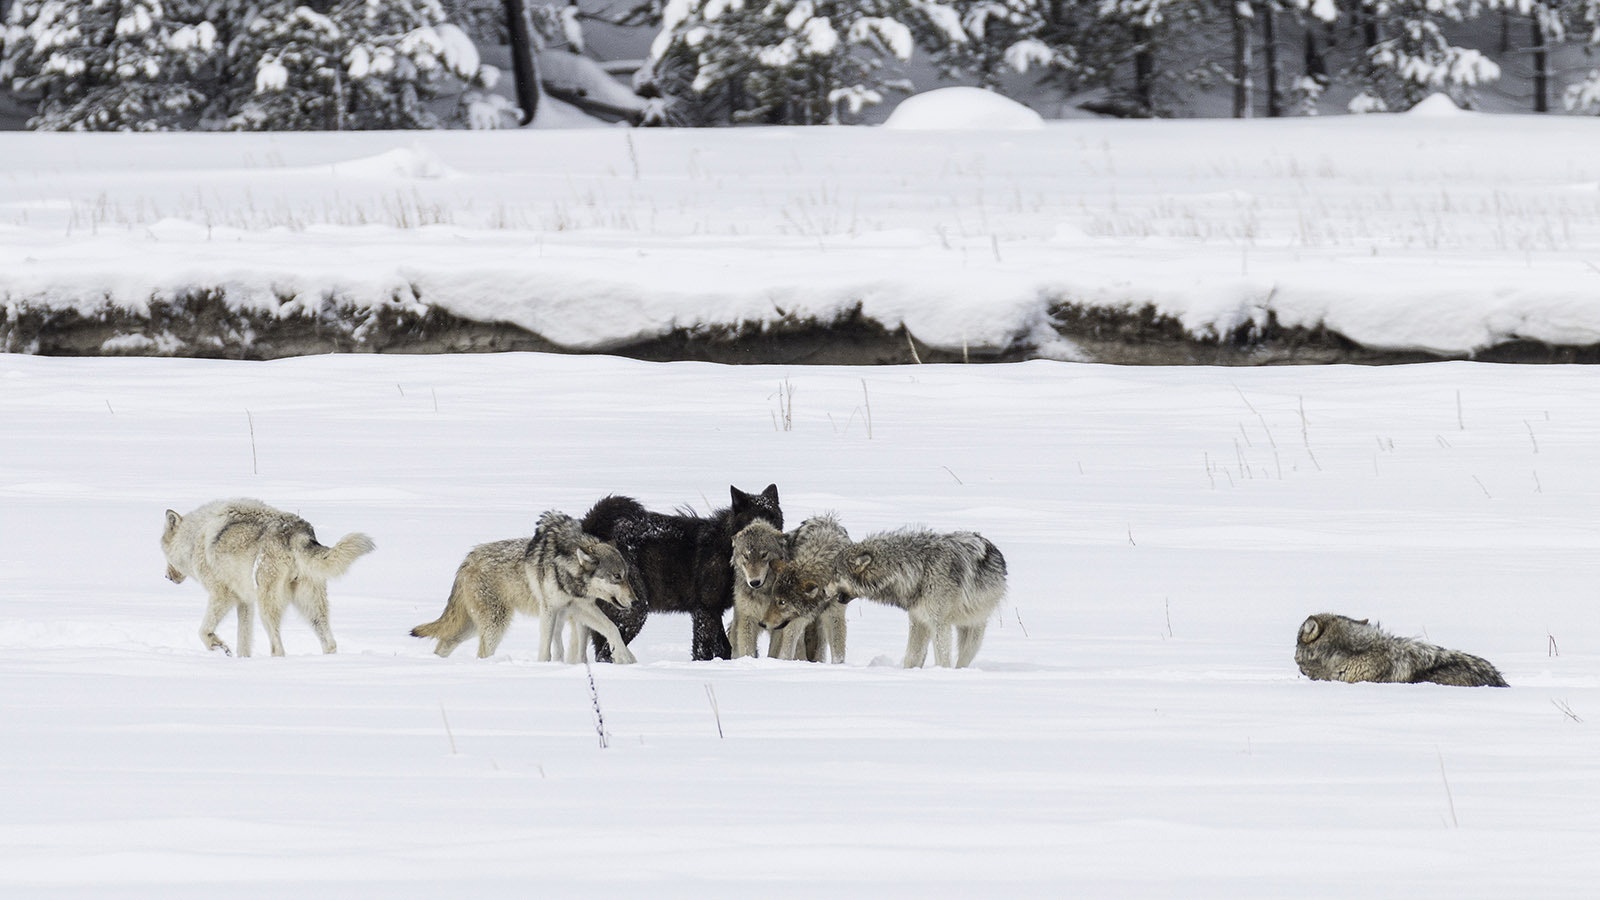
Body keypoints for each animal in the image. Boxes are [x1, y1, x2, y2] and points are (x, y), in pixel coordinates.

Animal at [163, 493, 374, 656]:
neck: (193, 539)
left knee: (278, 649)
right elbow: (243, 643)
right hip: (310, 607)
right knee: (329, 644)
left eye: (164, 554)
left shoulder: (222, 595)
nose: (167, 577)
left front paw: (219, 646)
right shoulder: (244, 602)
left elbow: (203, 631)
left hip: (266, 606)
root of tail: (298, 533)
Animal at [412, 512, 636, 659]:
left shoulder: (579, 609)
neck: (567, 574)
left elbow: (612, 628)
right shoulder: (550, 610)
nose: (635, 601)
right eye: (617, 577)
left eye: (627, 576)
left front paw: (626, 659)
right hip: (495, 625)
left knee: (444, 643)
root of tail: (467, 560)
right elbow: (546, 650)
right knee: (481, 652)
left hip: (474, 626)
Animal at [588, 483, 787, 659]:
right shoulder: (705, 610)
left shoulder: (714, 611)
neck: (725, 548)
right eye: (753, 518)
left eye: (773, 518)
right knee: (606, 654)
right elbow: (704, 650)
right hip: (635, 611)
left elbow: (724, 648)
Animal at [838, 525, 998, 666]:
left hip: (974, 630)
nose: (832, 596)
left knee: (963, 658)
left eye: (835, 575)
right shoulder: (918, 620)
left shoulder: (939, 623)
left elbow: (942, 657)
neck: (919, 570)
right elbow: (912, 656)